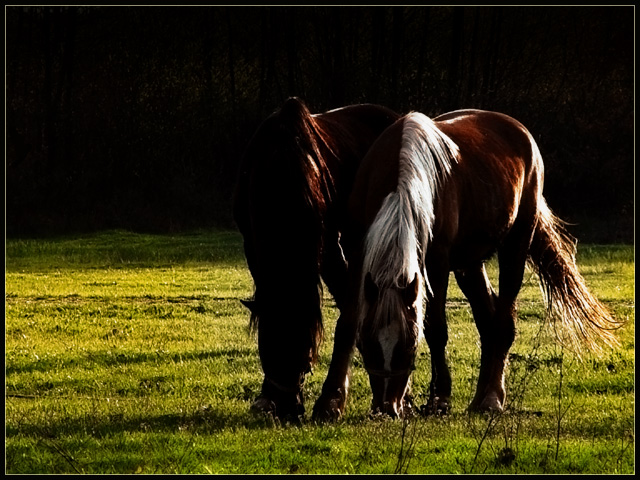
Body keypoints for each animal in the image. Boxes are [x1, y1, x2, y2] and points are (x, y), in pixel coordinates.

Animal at [230, 96, 400, 420]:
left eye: (305, 345)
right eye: (268, 343)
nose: (288, 408)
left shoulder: (330, 248)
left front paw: (335, 399)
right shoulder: (253, 248)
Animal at [312, 109, 616, 420]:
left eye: (410, 346)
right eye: (369, 343)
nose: (388, 408)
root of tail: (519, 130)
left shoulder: (437, 261)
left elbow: (435, 328)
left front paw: (439, 399)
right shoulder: (358, 251)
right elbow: (348, 322)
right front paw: (329, 402)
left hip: (515, 245)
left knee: (503, 320)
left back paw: (492, 398)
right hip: (470, 264)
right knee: (487, 320)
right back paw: (480, 397)